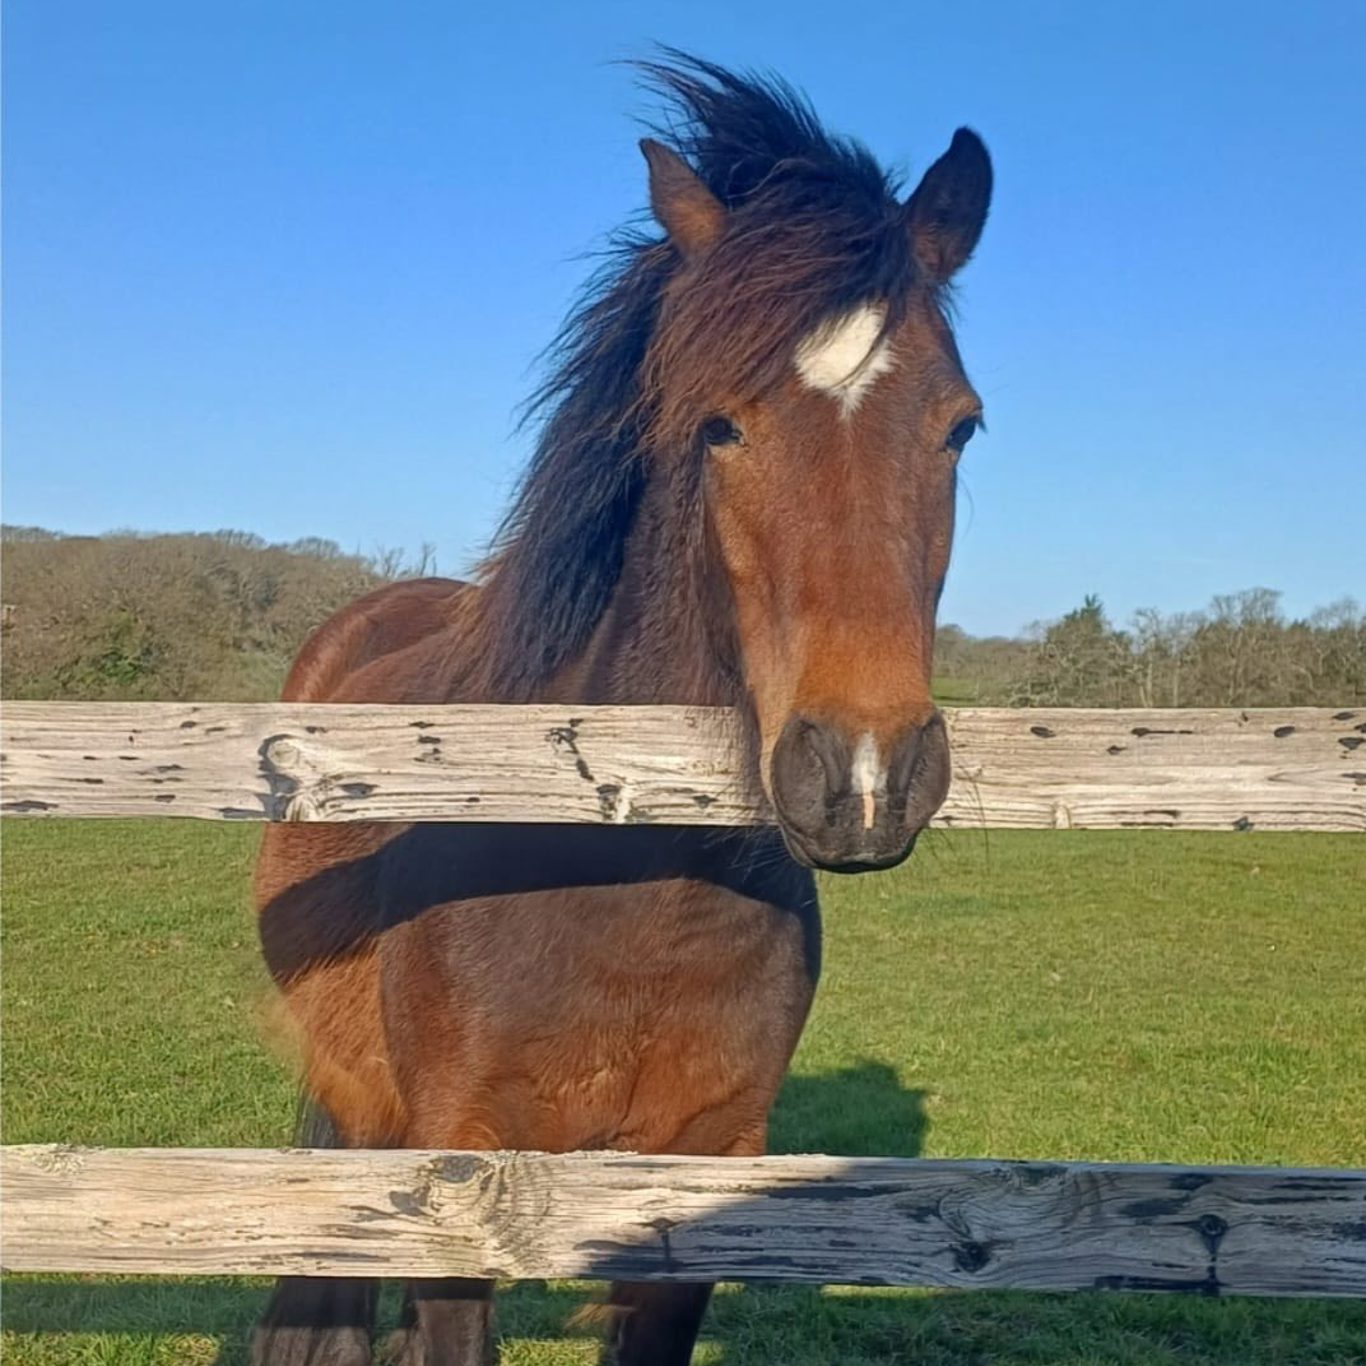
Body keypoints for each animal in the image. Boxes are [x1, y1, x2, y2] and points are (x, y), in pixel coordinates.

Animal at [251, 53, 991, 1366]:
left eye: (959, 424)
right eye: (719, 423)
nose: (862, 773)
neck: (620, 884)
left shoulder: (702, 1179)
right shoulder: (464, 1180)